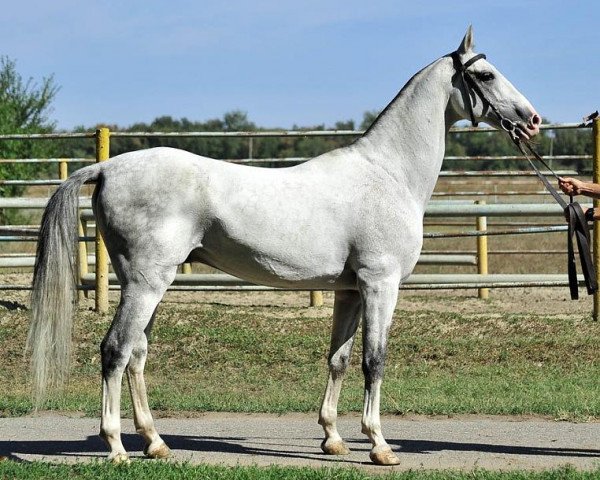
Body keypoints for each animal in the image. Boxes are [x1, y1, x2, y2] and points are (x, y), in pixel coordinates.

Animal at [29, 26, 540, 464]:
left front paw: (333, 438)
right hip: (145, 283)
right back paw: (116, 447)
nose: (533, 120)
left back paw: (155, 443)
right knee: (115, 351)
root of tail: (107, 168)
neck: (388, 173)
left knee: (136, 354)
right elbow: (374, 361)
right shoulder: (381, 284)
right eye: (486, 74)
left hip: (147, 285)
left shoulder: (349, 290)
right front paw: (379, 445)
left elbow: (339, 359)